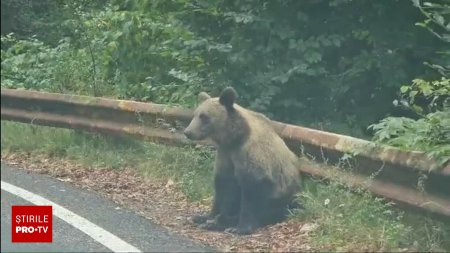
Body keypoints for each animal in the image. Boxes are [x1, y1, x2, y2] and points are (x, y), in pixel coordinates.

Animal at [183, 87, 302, 235]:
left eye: (204, 116)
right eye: (195, 114)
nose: (188, 132)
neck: (234, 137)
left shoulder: (250, 153)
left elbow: (251, 190)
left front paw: (240, 227)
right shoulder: (225, 153)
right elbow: (223, 185)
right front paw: (207, 216)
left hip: (281, 198)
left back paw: (222, 221)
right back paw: (205, 219)